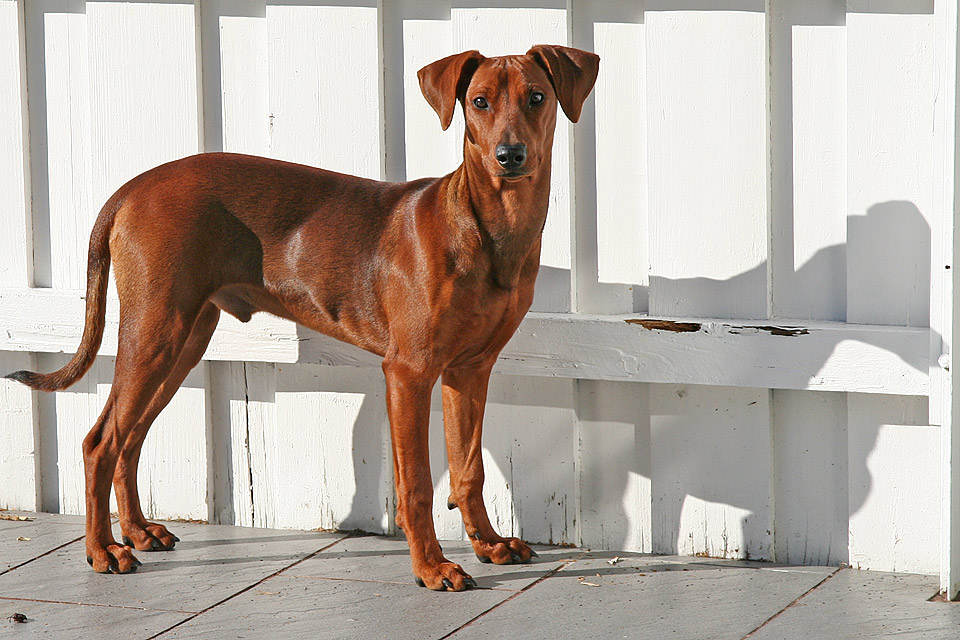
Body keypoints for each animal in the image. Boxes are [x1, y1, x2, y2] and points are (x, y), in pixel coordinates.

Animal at [7, 45, 599, 591]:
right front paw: (432, 568)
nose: (509, 155)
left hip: (184, 340)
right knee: (100, 442)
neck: (484, 224)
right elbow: (415, 485)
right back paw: (102, 550)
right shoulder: (408, 372)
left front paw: (489, 545)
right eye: (479, 102)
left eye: (537, 98)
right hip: (155, 333)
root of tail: (132, 188)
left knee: (129, 437)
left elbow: (469, 470)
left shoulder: (470, 371)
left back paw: (137, 532)